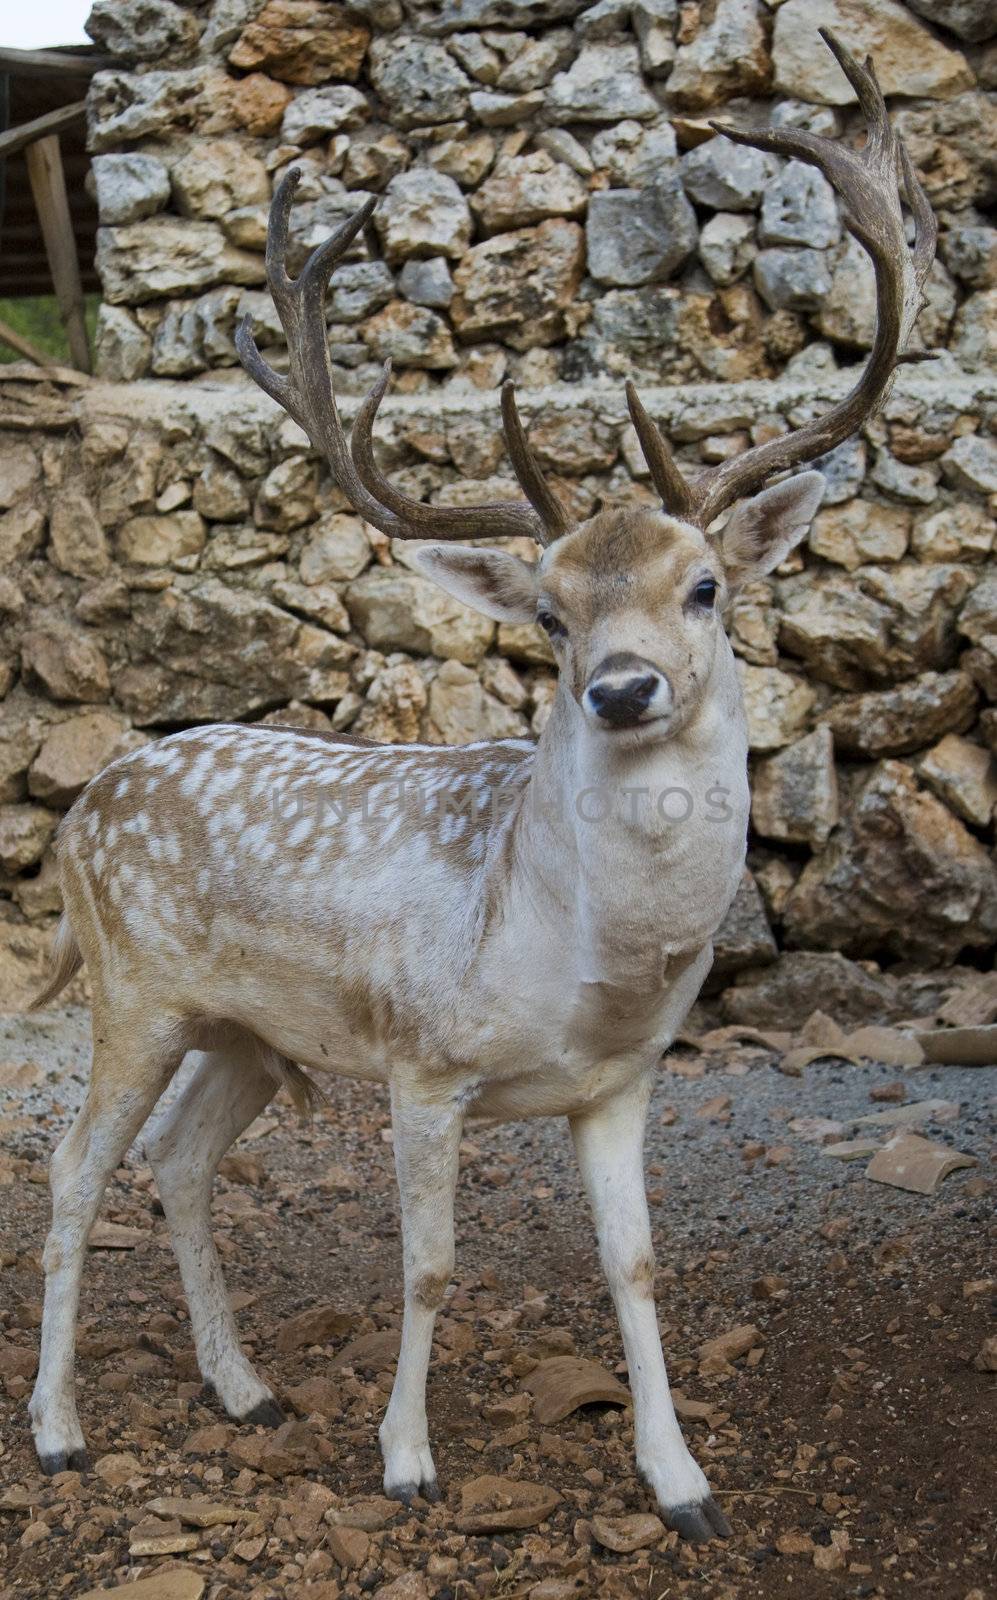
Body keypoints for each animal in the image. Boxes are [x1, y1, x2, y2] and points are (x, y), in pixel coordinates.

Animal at [27, 34, 934, 1536]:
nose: (620, 688)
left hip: (244, 1031)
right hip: (131, 990)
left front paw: (682, 1484)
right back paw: (57, 1430)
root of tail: (84, 809)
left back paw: (247, 1389)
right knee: (72, 1169)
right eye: (551, 617)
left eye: (706, 585)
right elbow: (430, 1267)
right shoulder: (422, 1057)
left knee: (179, 1163)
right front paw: (405, 1461)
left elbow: (636, 1267)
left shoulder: (624, 1082)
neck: (567, 957)